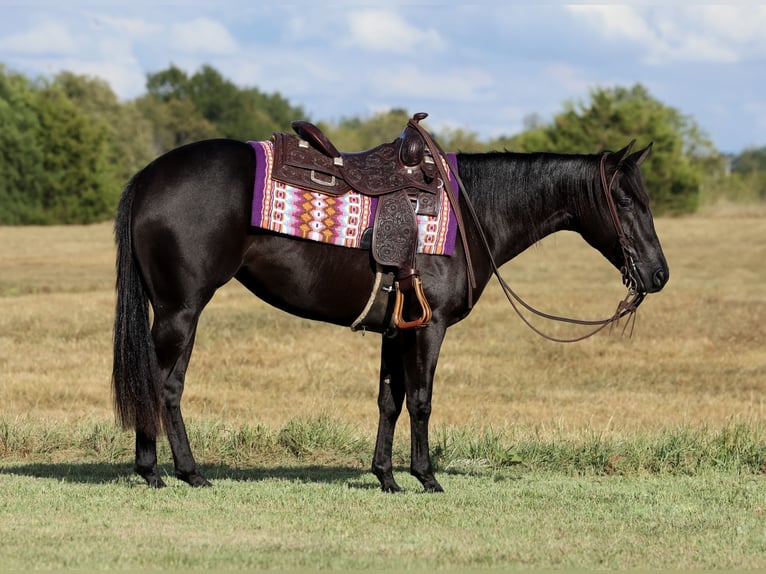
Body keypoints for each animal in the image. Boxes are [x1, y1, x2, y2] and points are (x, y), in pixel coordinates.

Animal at [112, 135, 669, 492]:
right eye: (625, 199)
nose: (659, 274)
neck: (470, 215)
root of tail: (149, 176)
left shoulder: (396, 331)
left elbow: (389, 401)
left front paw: (386, 476)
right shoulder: (429, 328)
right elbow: (421, 401)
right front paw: (427, 477)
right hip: (181, 310)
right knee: (163, 384)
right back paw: (172, 471)